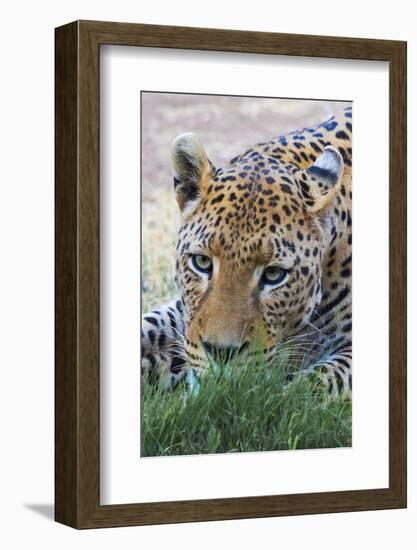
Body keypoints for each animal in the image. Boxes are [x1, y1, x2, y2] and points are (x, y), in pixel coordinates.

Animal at [141, 105, 352, 398]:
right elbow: (149, 327)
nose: (221, 353)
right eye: (202, 262)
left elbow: (308, 388)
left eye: (274, 274)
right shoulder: (183, 313)